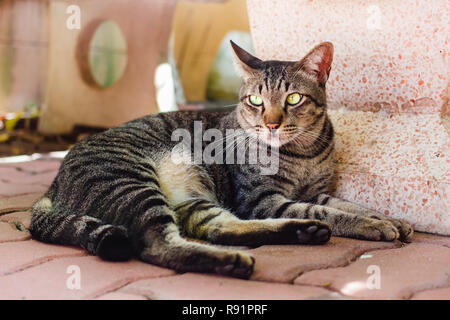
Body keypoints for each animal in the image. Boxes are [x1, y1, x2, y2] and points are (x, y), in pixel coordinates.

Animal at [29, 41, 414, 278]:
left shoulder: (313, 191)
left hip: (191, 199)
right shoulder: (262, 199)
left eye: (293, 99)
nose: (271, 123)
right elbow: (331, 212)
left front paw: (390, 219)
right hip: (131, 181)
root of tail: (53, 186)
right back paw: (234, 261)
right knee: (158, 246)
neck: (303, 152)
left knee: (214, 227)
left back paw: (301, 232)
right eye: (255, 101)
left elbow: (345, 204)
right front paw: (374, 225)